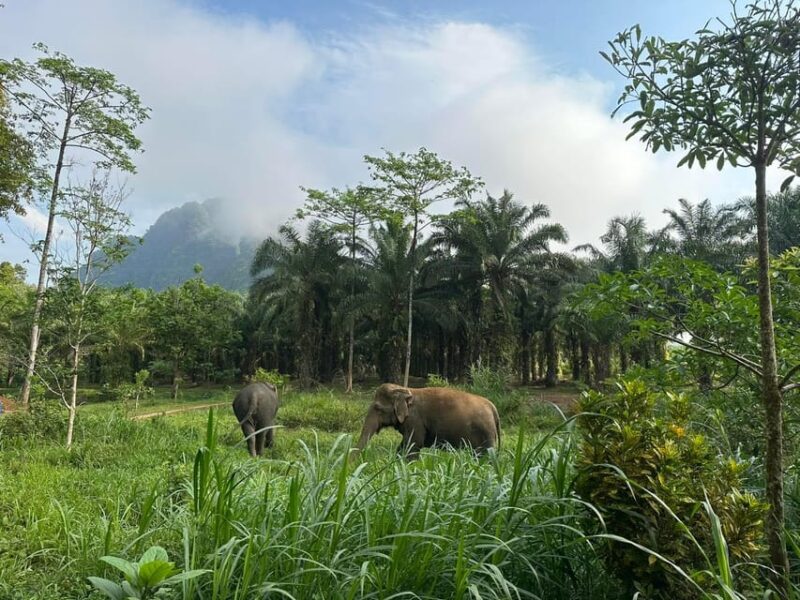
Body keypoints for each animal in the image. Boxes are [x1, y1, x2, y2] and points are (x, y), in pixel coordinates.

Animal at [355, 383, 500, 459]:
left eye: (377, 408)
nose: (352, 465)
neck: (405, 389)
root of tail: (493, 407)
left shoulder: (415, 420)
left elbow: (414, 444)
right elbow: (403, 445)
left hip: (485, 433)